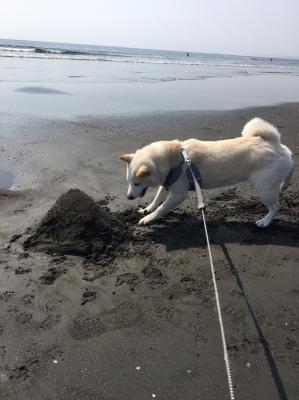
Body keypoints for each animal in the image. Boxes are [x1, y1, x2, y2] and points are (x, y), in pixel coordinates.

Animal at [119, 117, 292, 227]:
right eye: (129, 182)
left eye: (137, 183)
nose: (129, 197)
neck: (171, 159)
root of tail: (273, 143)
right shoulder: (167, 183)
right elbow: (157, 200)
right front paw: (147, 209)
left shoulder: (177, 195)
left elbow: (162, 208)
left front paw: (149, 218)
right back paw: (286, 182)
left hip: (264, 190)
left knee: (276, 207)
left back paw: (265, 222)